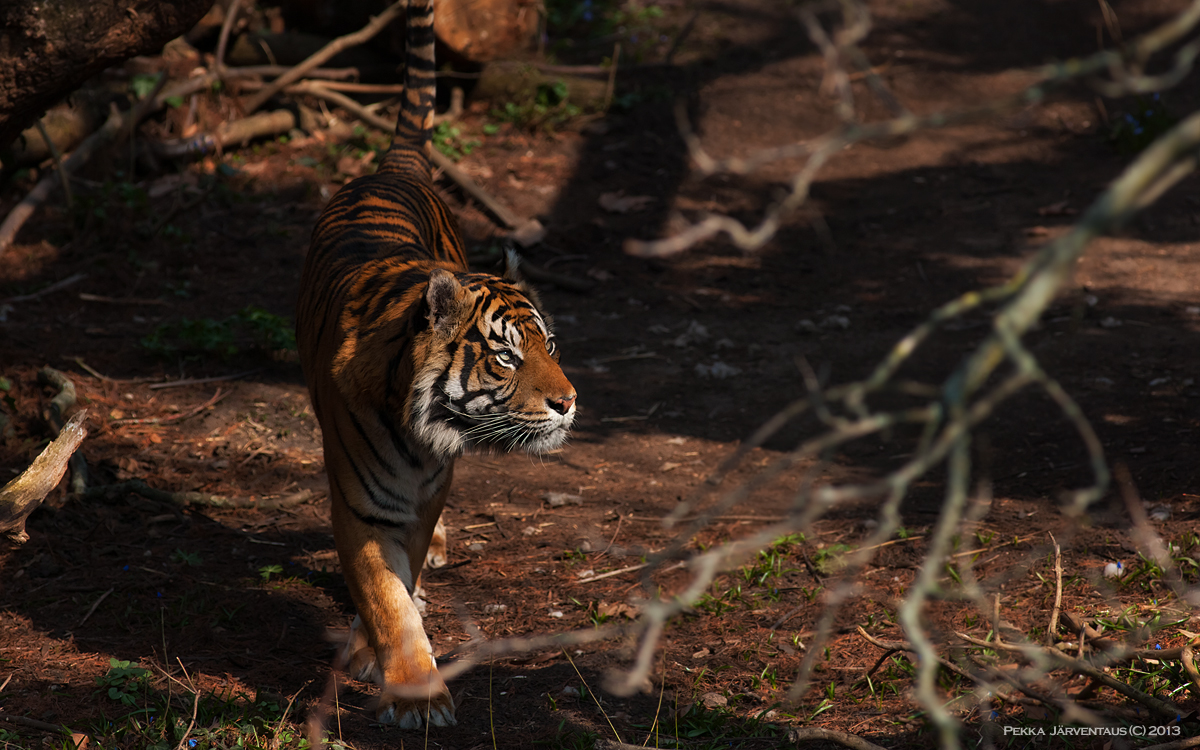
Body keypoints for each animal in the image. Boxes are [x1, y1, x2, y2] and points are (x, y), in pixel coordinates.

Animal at [295, 0, 576, 729]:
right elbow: (385, 597)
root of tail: (394, 166)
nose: (568, 402)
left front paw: (375, 655)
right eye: (506, 355)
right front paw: (417, 694)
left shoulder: (426, 494)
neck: (422, 435)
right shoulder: (361, 505)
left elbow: (404, 575)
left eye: (550, 347)